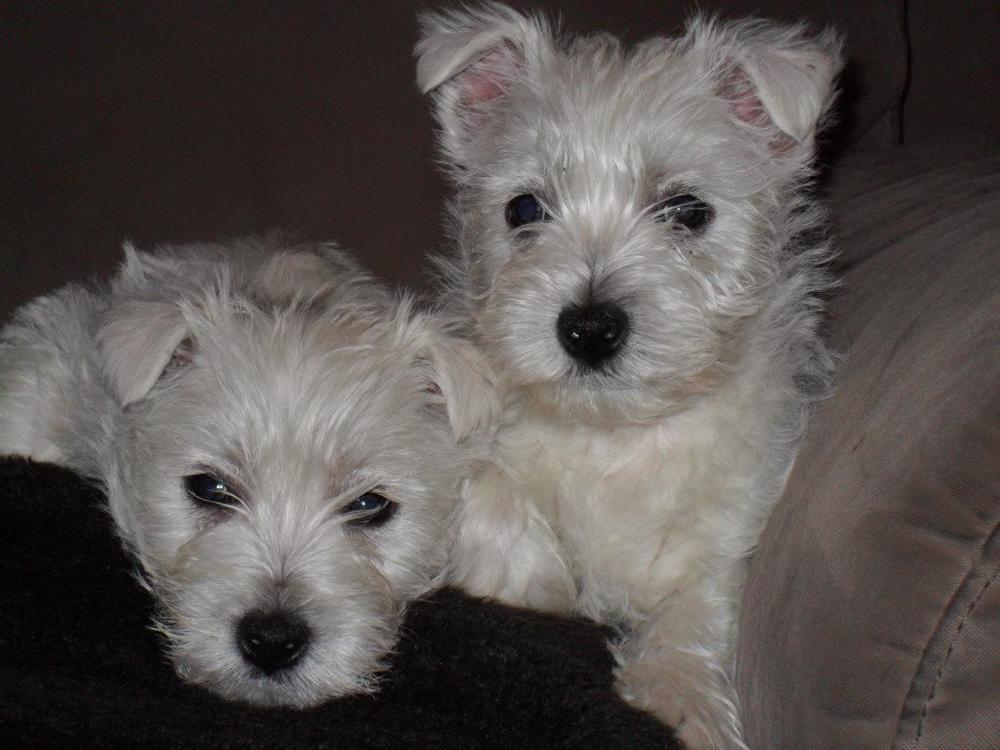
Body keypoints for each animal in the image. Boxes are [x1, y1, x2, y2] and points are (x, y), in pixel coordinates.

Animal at [417, 5, 841, 748]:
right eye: (523, 209)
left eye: (688, 210)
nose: (588, 328)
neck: (614, 434)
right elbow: (495, 497)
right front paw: (532, 590)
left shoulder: (732, 511)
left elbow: (698, 602)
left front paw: (683, 699)